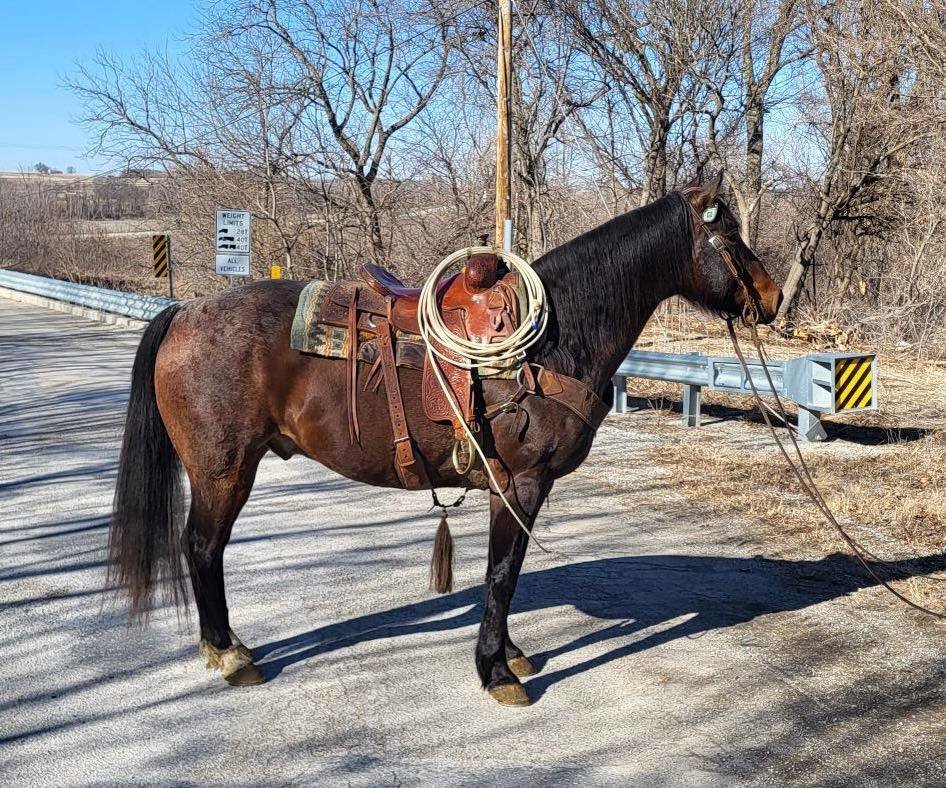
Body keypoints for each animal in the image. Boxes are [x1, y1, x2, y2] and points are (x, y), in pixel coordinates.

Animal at [108, 176, 782, 706]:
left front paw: (509, 653)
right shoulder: (522, 482)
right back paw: (227, 654)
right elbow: (502, 573)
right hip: (223, 472)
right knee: (203, 548)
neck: (553, 341)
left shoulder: (515, 489)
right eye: (729, 237)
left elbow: (505, 571)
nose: (774, 297)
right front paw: (496, 673)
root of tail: (185, 312)